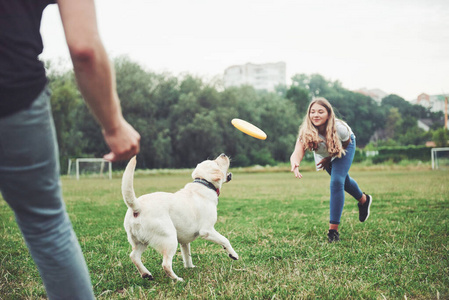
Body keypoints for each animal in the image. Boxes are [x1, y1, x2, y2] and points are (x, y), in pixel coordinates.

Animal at [119, 154, 238, 282]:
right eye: (216, 163)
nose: (223, 154)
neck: (205, 184)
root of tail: (137, 207)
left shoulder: (184, 241)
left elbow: (187, 256)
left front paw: (190, 267)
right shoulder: (207, 231)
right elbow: (225, 240)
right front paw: (233, 255)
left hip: (141, 241)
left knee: (134, 256)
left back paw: (146, 274)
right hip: (170, 239)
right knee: (165, 264)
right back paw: (178, 280)